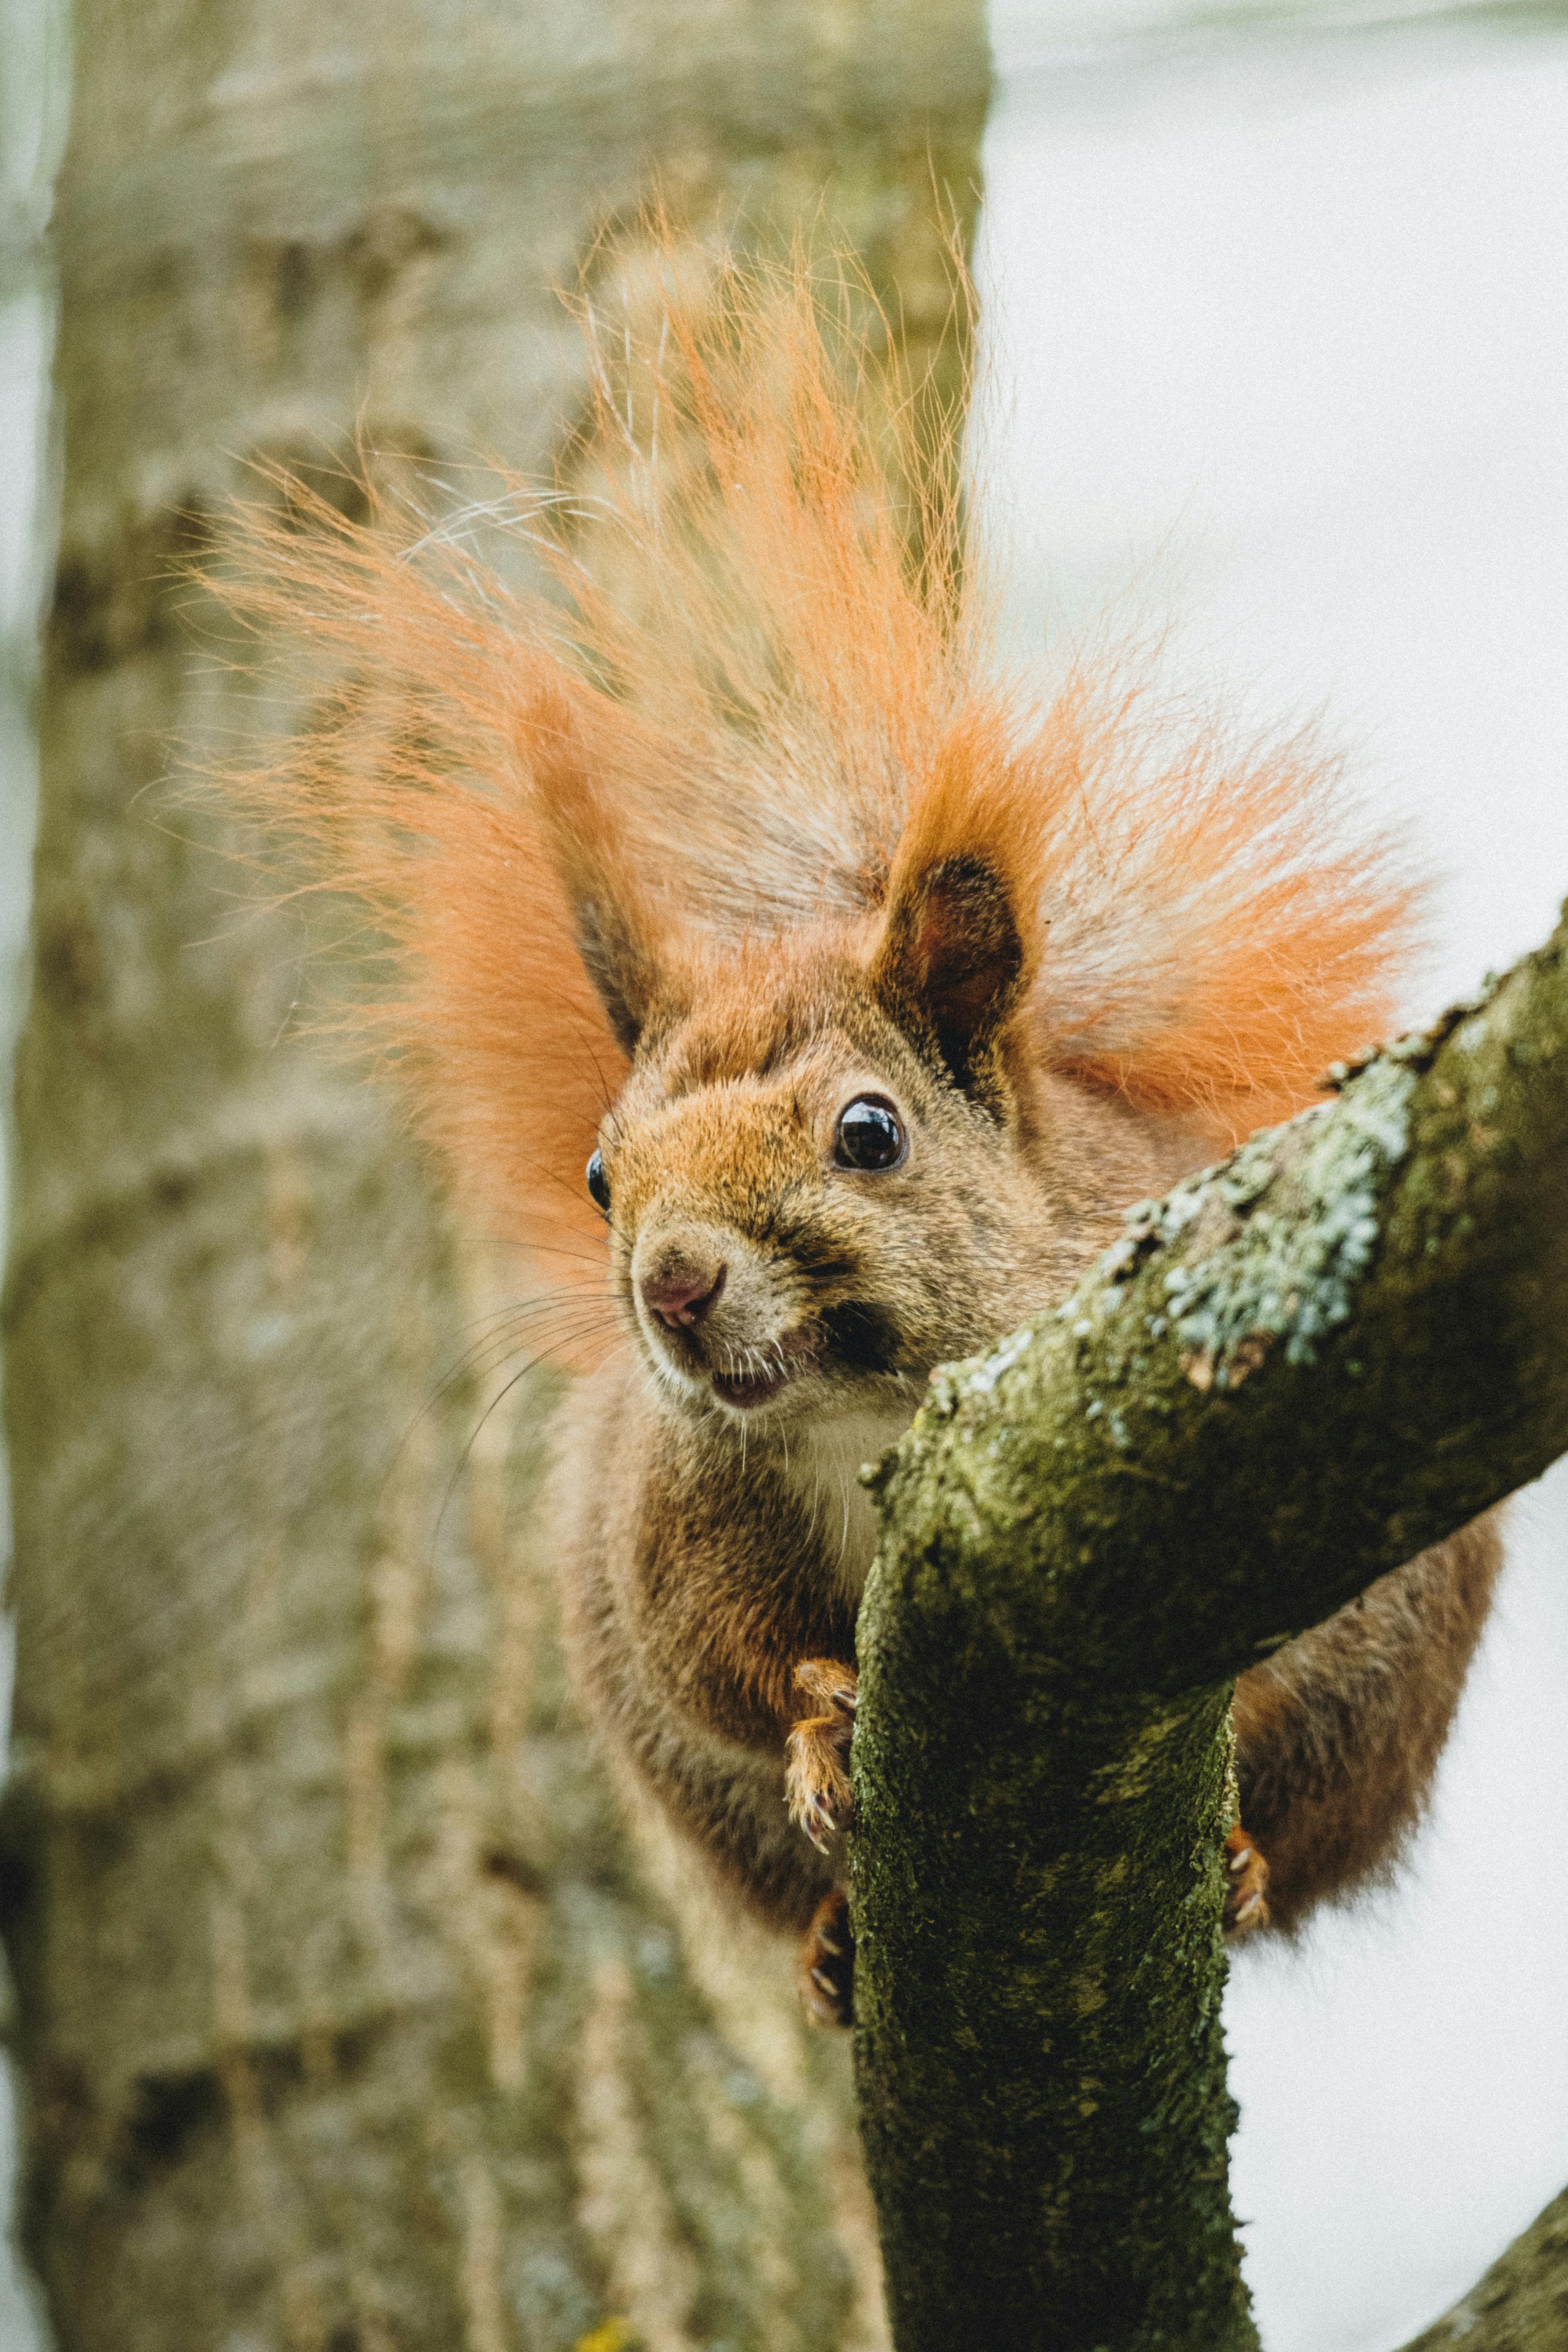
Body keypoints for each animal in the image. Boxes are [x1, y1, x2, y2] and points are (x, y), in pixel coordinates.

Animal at [212, 237, 1503, 2027]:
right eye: (599, 1174)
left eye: (870, 1133)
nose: (673, 1286)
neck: (854, 1414)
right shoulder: (680, 1527)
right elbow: (728, 1664)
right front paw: (823, 1718)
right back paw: (831, 1936)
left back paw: (1244, 1865)